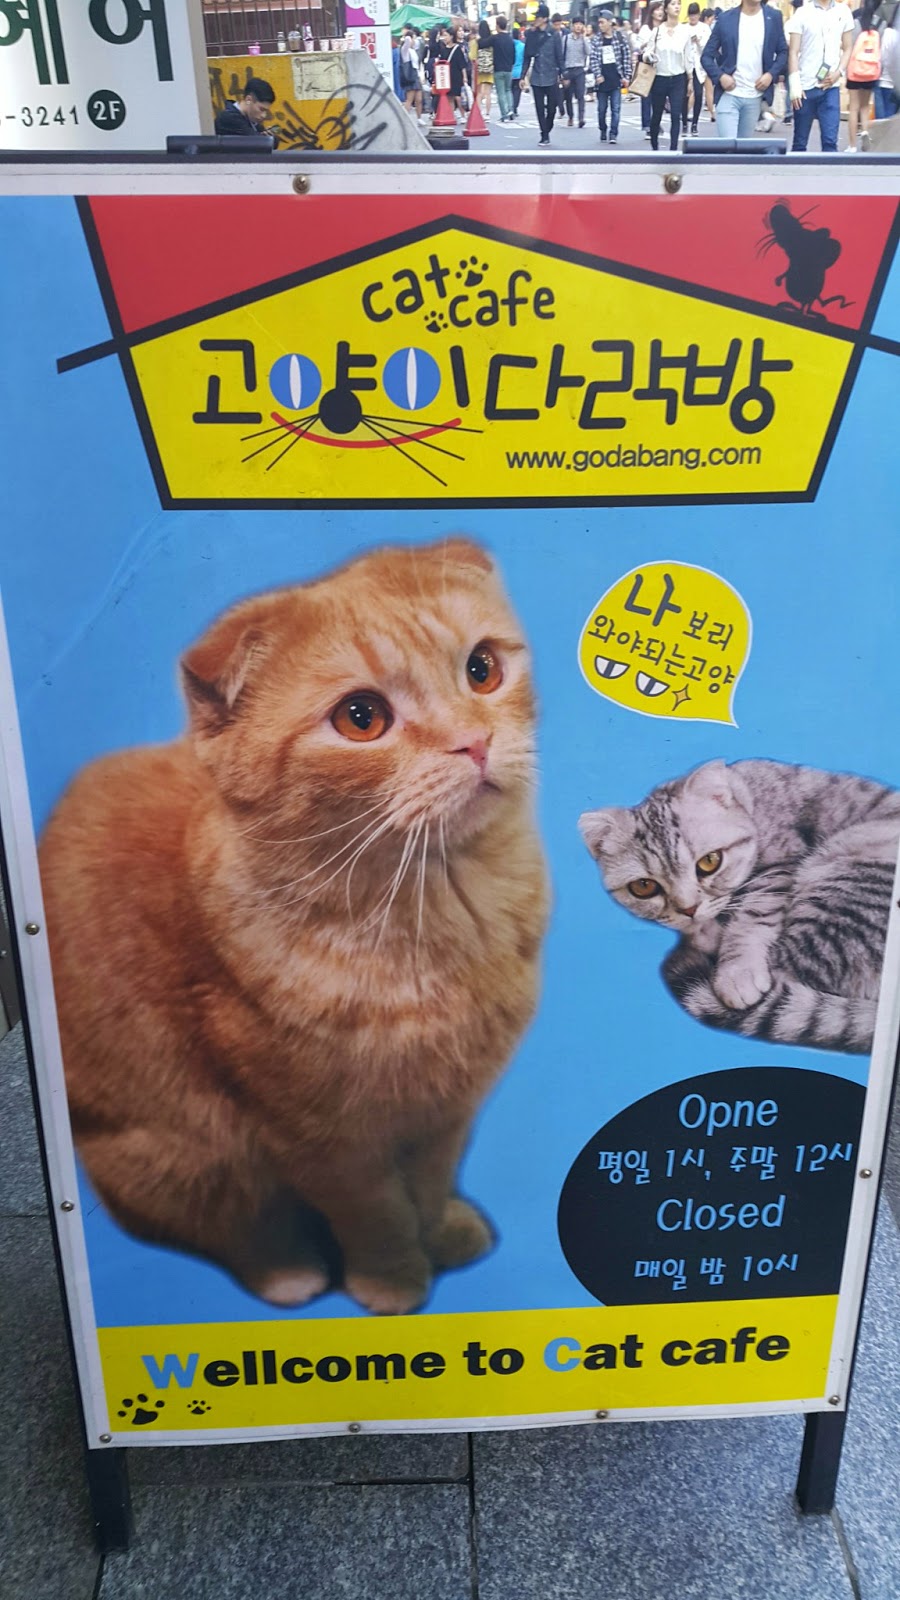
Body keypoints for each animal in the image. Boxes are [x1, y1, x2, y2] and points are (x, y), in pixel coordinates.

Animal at [39, 537, 549, 1314]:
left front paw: (445, 1233)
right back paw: (290, 1274)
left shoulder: (447, 1112)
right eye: (362, 717)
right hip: (176, 1153)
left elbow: (429, 1187)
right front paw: (393, 1284)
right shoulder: (320, 1140)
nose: (475, 741)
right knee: (234, 1228)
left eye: (482, 669)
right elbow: (377, 1214)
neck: (435, 915)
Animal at [579, 759, 900, 1055]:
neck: (748, 799)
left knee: (784, 969)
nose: (688, 909)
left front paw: (736, 971)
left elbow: (752, 916)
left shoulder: (779, 867)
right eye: (644, 887)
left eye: (709, 862)